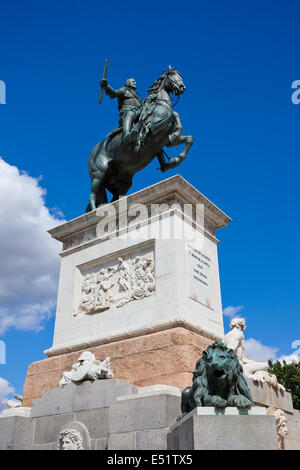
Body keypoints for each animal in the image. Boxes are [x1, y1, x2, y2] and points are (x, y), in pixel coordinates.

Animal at [86, 67, 195, 211]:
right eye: (172, 75)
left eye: (179, 75)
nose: (182, 87)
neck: (160, 105)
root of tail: (93, 151)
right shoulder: (153, 127)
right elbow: (172, 114)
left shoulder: (165, 140)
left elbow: (187, 137)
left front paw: (175, 160)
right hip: (99, 172)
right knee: (93, 194)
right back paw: (95, 211)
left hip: (123, 182)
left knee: (113, 198)